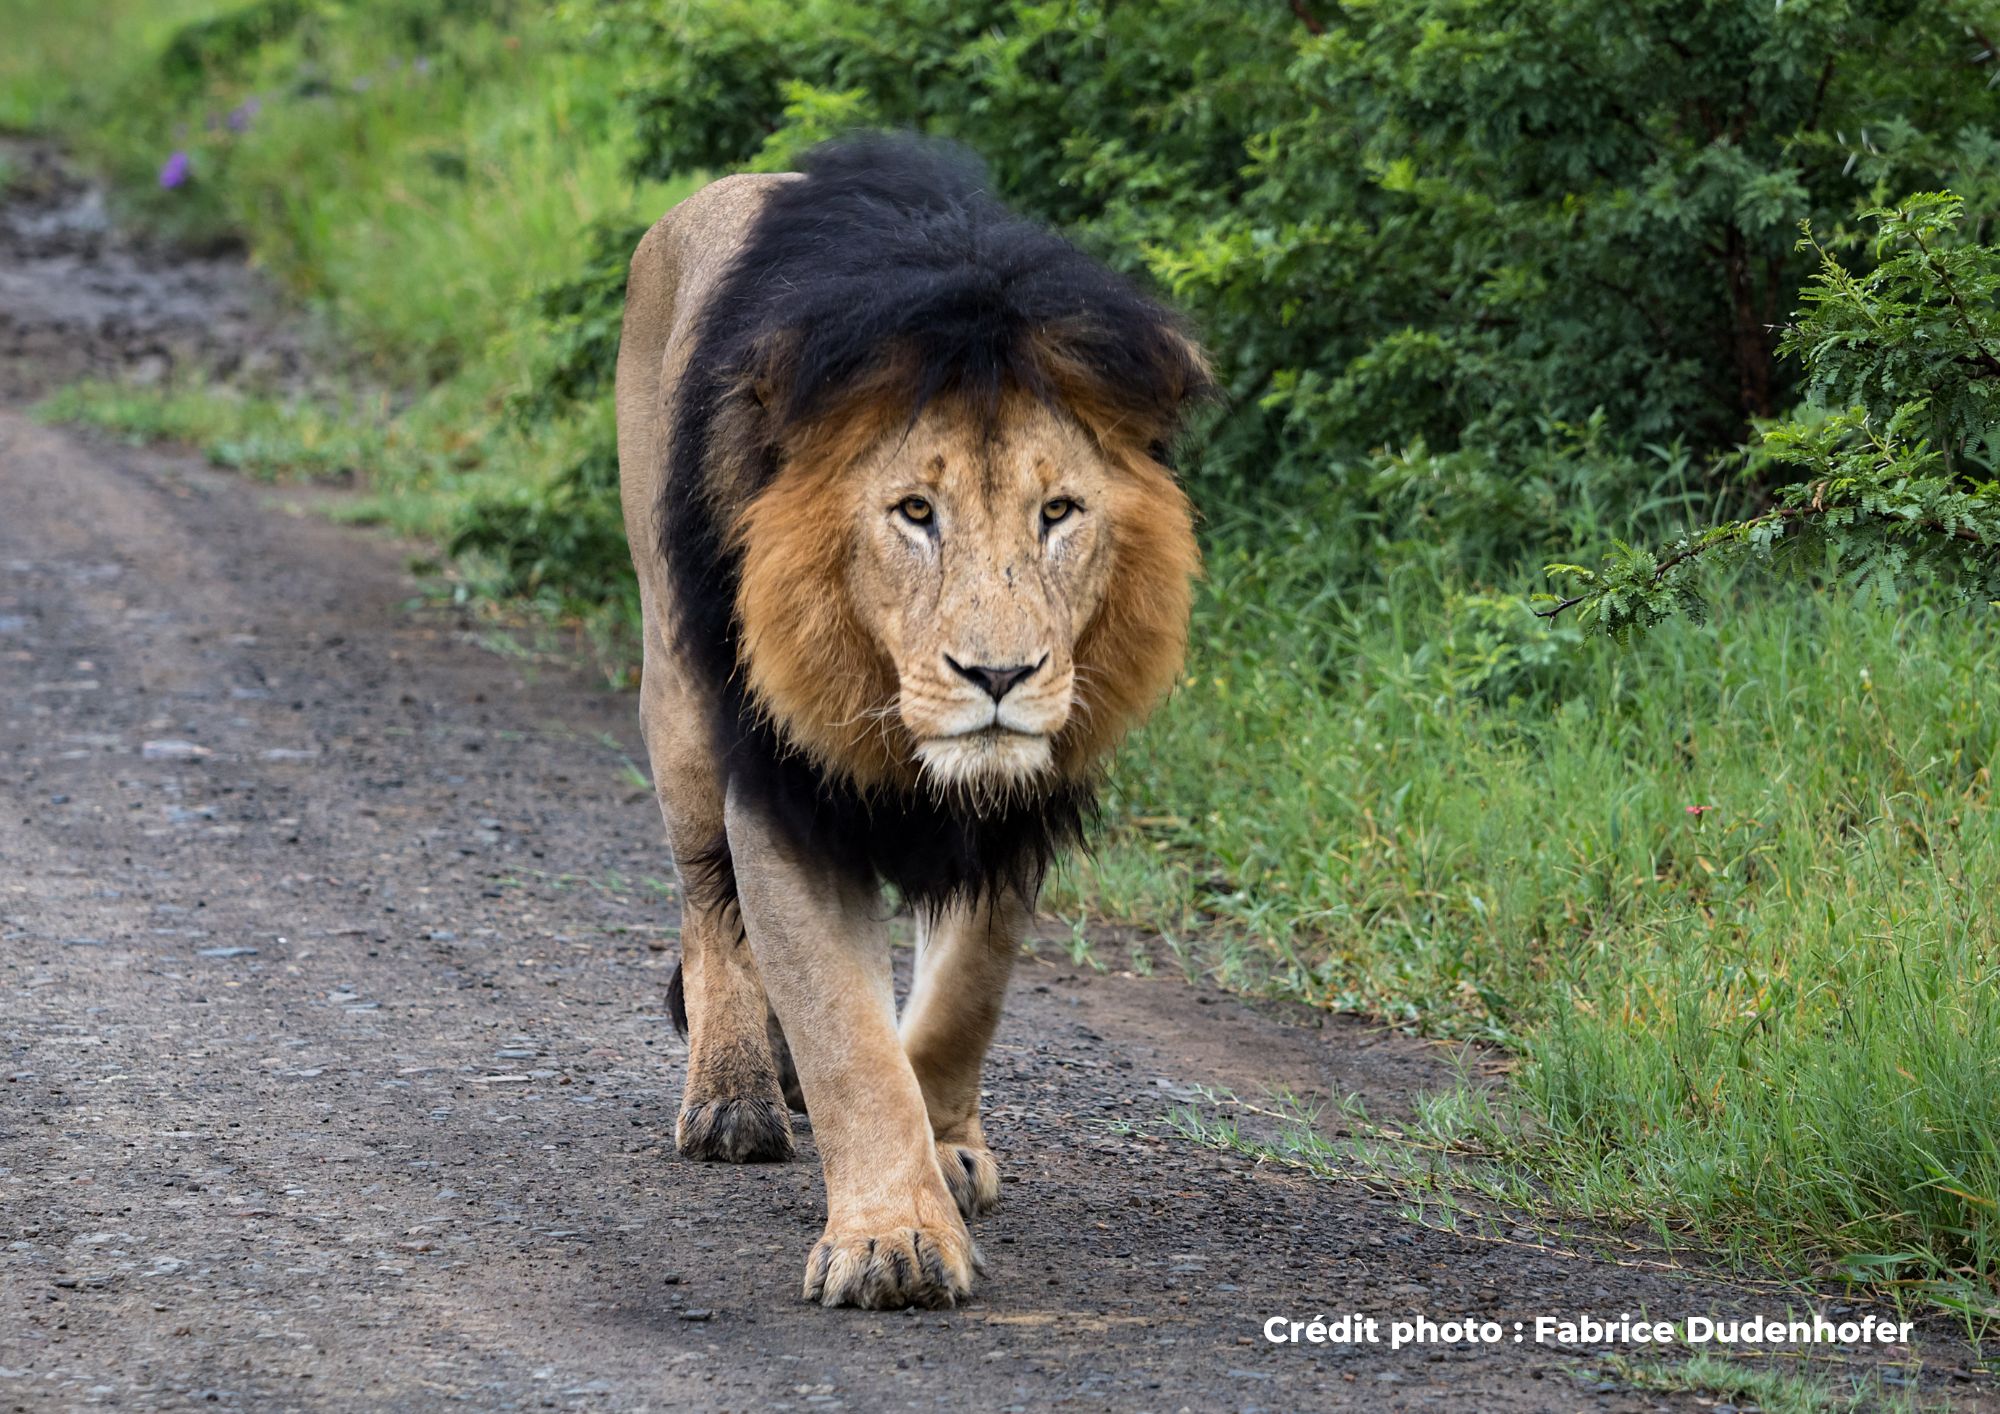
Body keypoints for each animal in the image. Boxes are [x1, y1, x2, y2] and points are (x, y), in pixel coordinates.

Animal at [614, 136, 1207, 1310]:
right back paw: (734, 1097)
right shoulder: (784, 791)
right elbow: (847, 1038)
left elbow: (959, 1000)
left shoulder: (1022, 801)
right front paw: (891, 1240)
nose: (999, 673)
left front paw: (945, 1150)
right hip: (680, 698)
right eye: (914, 513)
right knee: (707, 909)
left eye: (1057, 511)